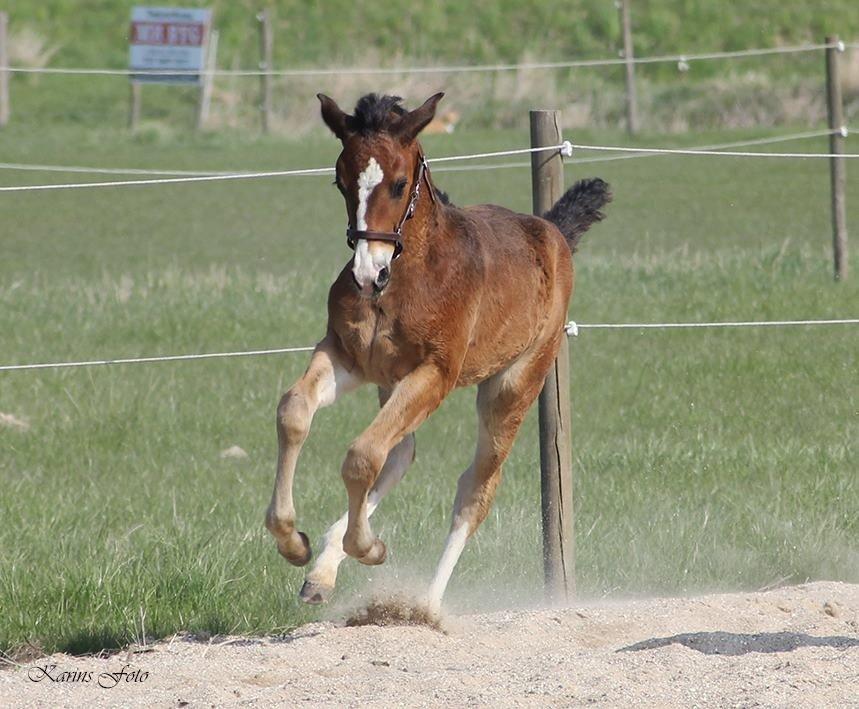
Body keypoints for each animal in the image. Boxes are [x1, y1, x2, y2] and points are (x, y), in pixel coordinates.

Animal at [266, 94, 608, 612]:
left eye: (398, 183)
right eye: (341, 181)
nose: (367, 274)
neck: (404, 281)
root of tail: (552, 231)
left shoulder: (436, 373)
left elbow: (362, 455)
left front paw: (369, 548)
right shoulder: (347, 357)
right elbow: (295, 412)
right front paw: (293, 542)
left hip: (512, 387)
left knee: (475, 487)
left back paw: (425, 606)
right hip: (391, 383)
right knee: (401, 452)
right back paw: (322, 571)